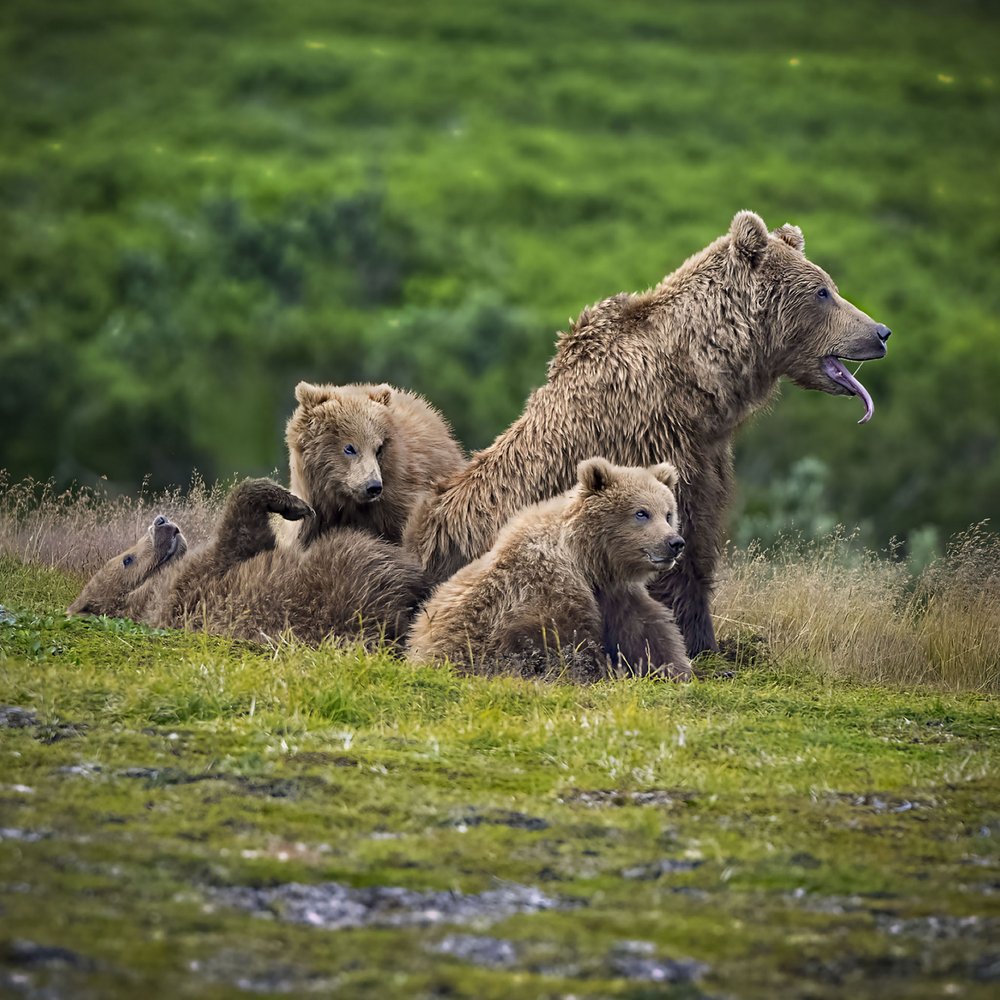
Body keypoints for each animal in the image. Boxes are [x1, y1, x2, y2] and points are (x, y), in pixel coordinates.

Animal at [68, 478, 429, 648]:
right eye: (127, 559)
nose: (160, 521)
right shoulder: (200, 582)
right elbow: (240, 527)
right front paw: (294, 504)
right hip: (345, 573)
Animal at [403, 210, 892, 657]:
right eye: (823, 291)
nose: (881, 332)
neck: (702, 383)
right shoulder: (653, 437)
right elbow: (676, 548)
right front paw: (699, 641)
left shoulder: (706, 453)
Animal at [407, 458, 691, 681]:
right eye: (641, 513)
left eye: (668, 513)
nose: (674, 542)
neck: (587, 558)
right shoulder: (548, 588)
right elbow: (570, 641)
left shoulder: (613, 592)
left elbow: (647, 632)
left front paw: (673, 670)